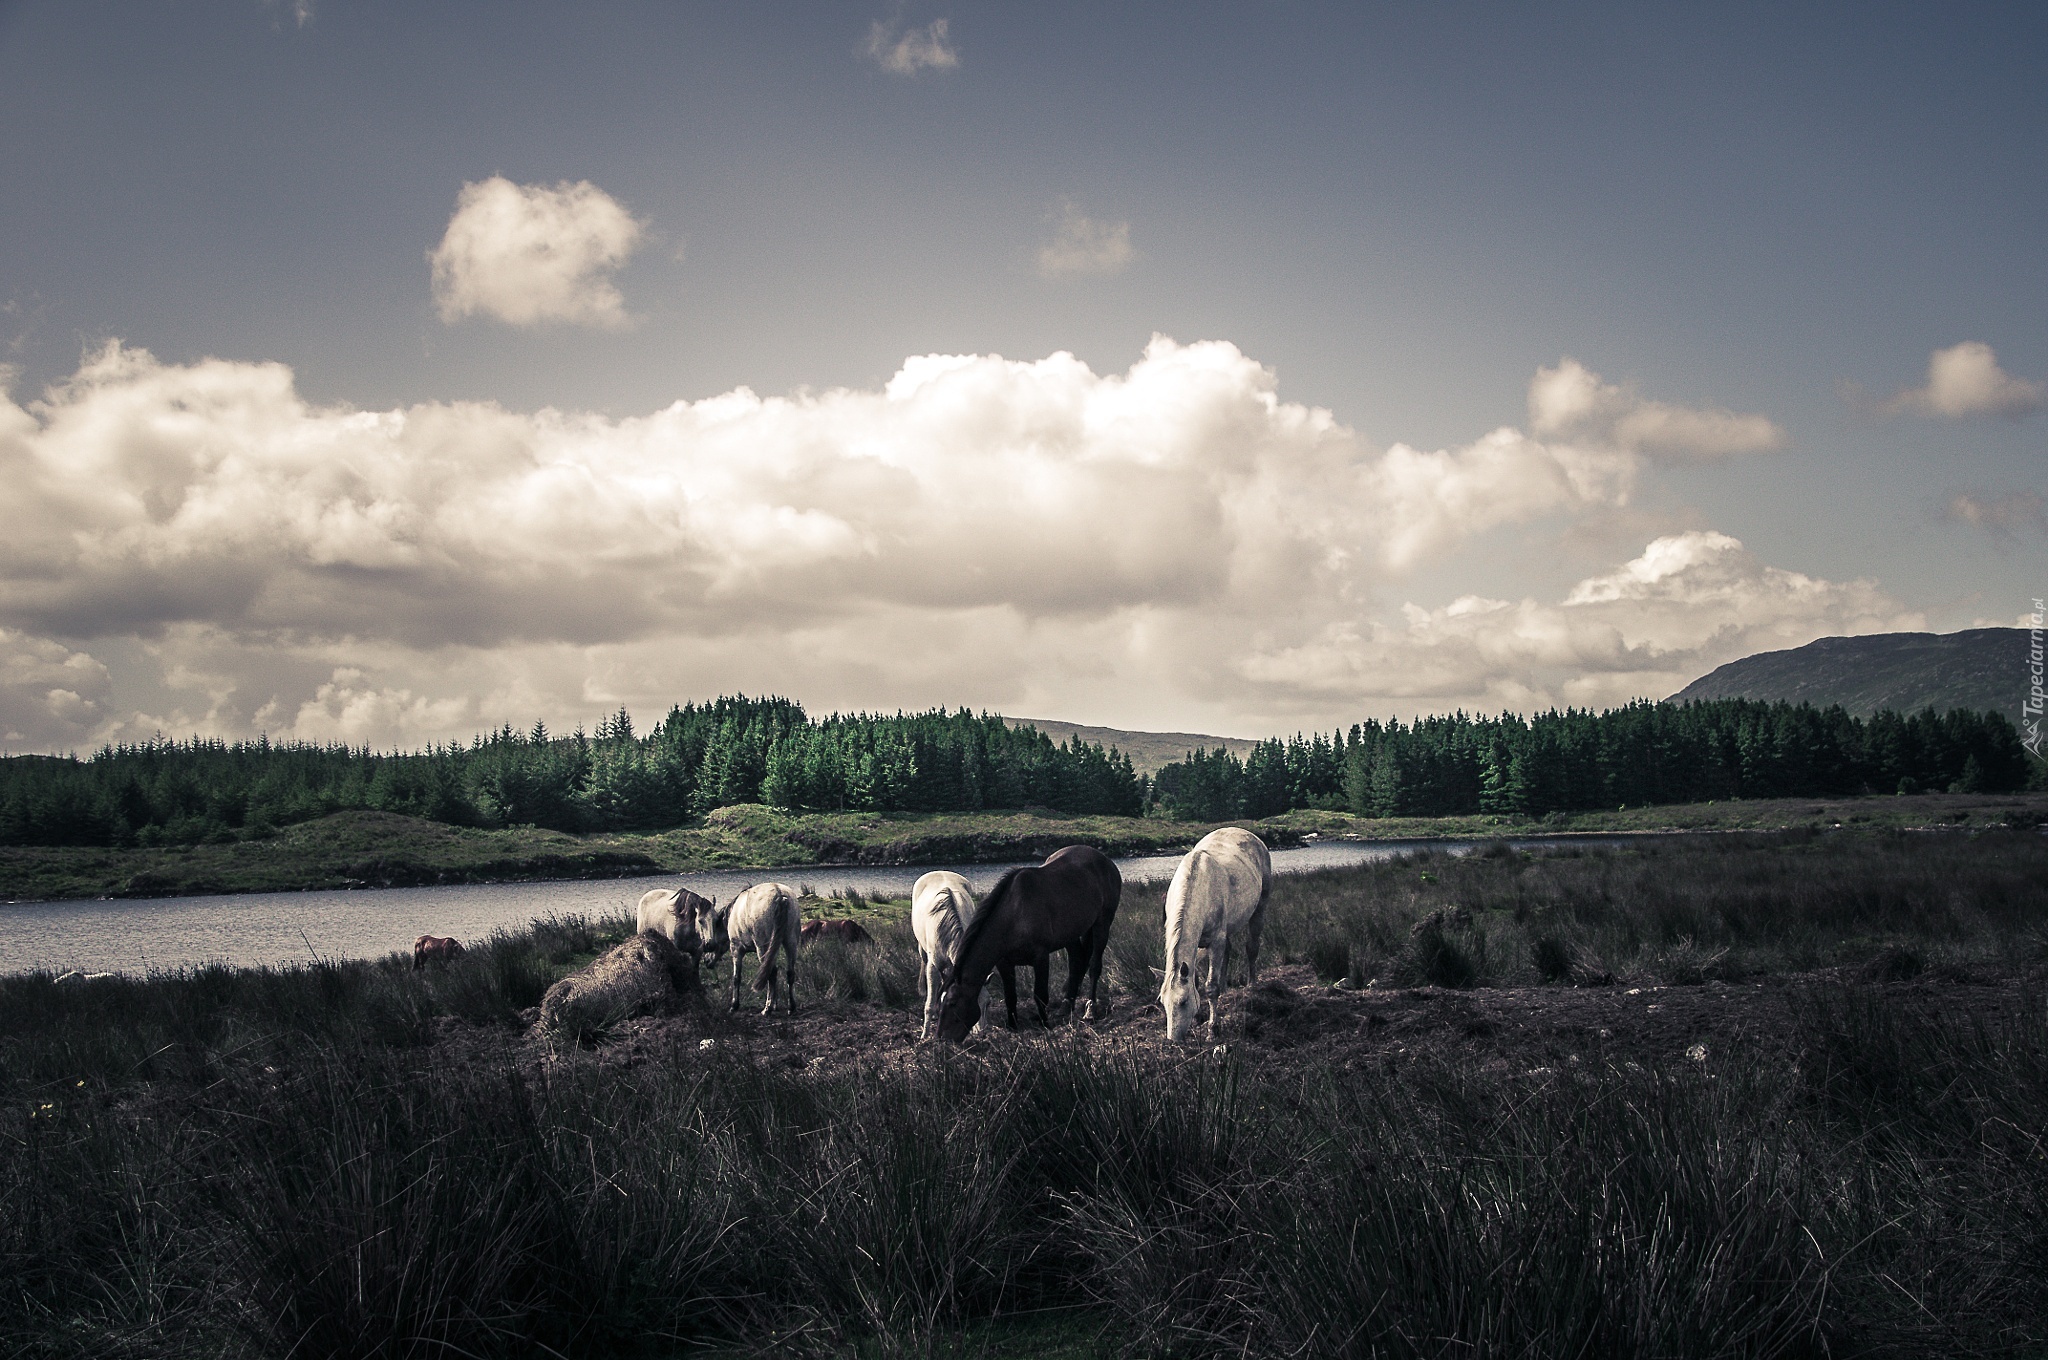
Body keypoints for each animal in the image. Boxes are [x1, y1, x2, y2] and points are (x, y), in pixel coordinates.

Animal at [909, 872, 978, 1040]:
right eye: (954, 1005)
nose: (956, 1039)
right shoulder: (932, 967)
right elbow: (928, 1004)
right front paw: (924, 1035)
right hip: (923, 951)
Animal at [937, 843, 1122, 1044]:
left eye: (953, 1003)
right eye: (940, 1003)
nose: (942, 1038)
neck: (1015, 915)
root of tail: (1105, 860)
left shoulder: (1040, 957)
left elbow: (1040, 994)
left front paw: (1045, 1024)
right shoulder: (1004, 963)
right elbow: (1010, 996)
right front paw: (1012, 1026)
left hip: (1103, 922)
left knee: (1094, 966)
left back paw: (1090, 1009)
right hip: (1071, 935)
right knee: (1077, 962)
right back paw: (1067, 1005)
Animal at [1163, 827, 1269, 1040]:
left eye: (1183, 1002)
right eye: (1163, 1003)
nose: (1173, 1040)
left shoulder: (1215, 941)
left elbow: (1211, 987)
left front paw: (1213, 1029)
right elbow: (1196, 980)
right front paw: (1198, 1019)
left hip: (1259, 909)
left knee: (1252, 948)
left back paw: (1252, 985)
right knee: (1228, 951)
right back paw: (1226, 989)